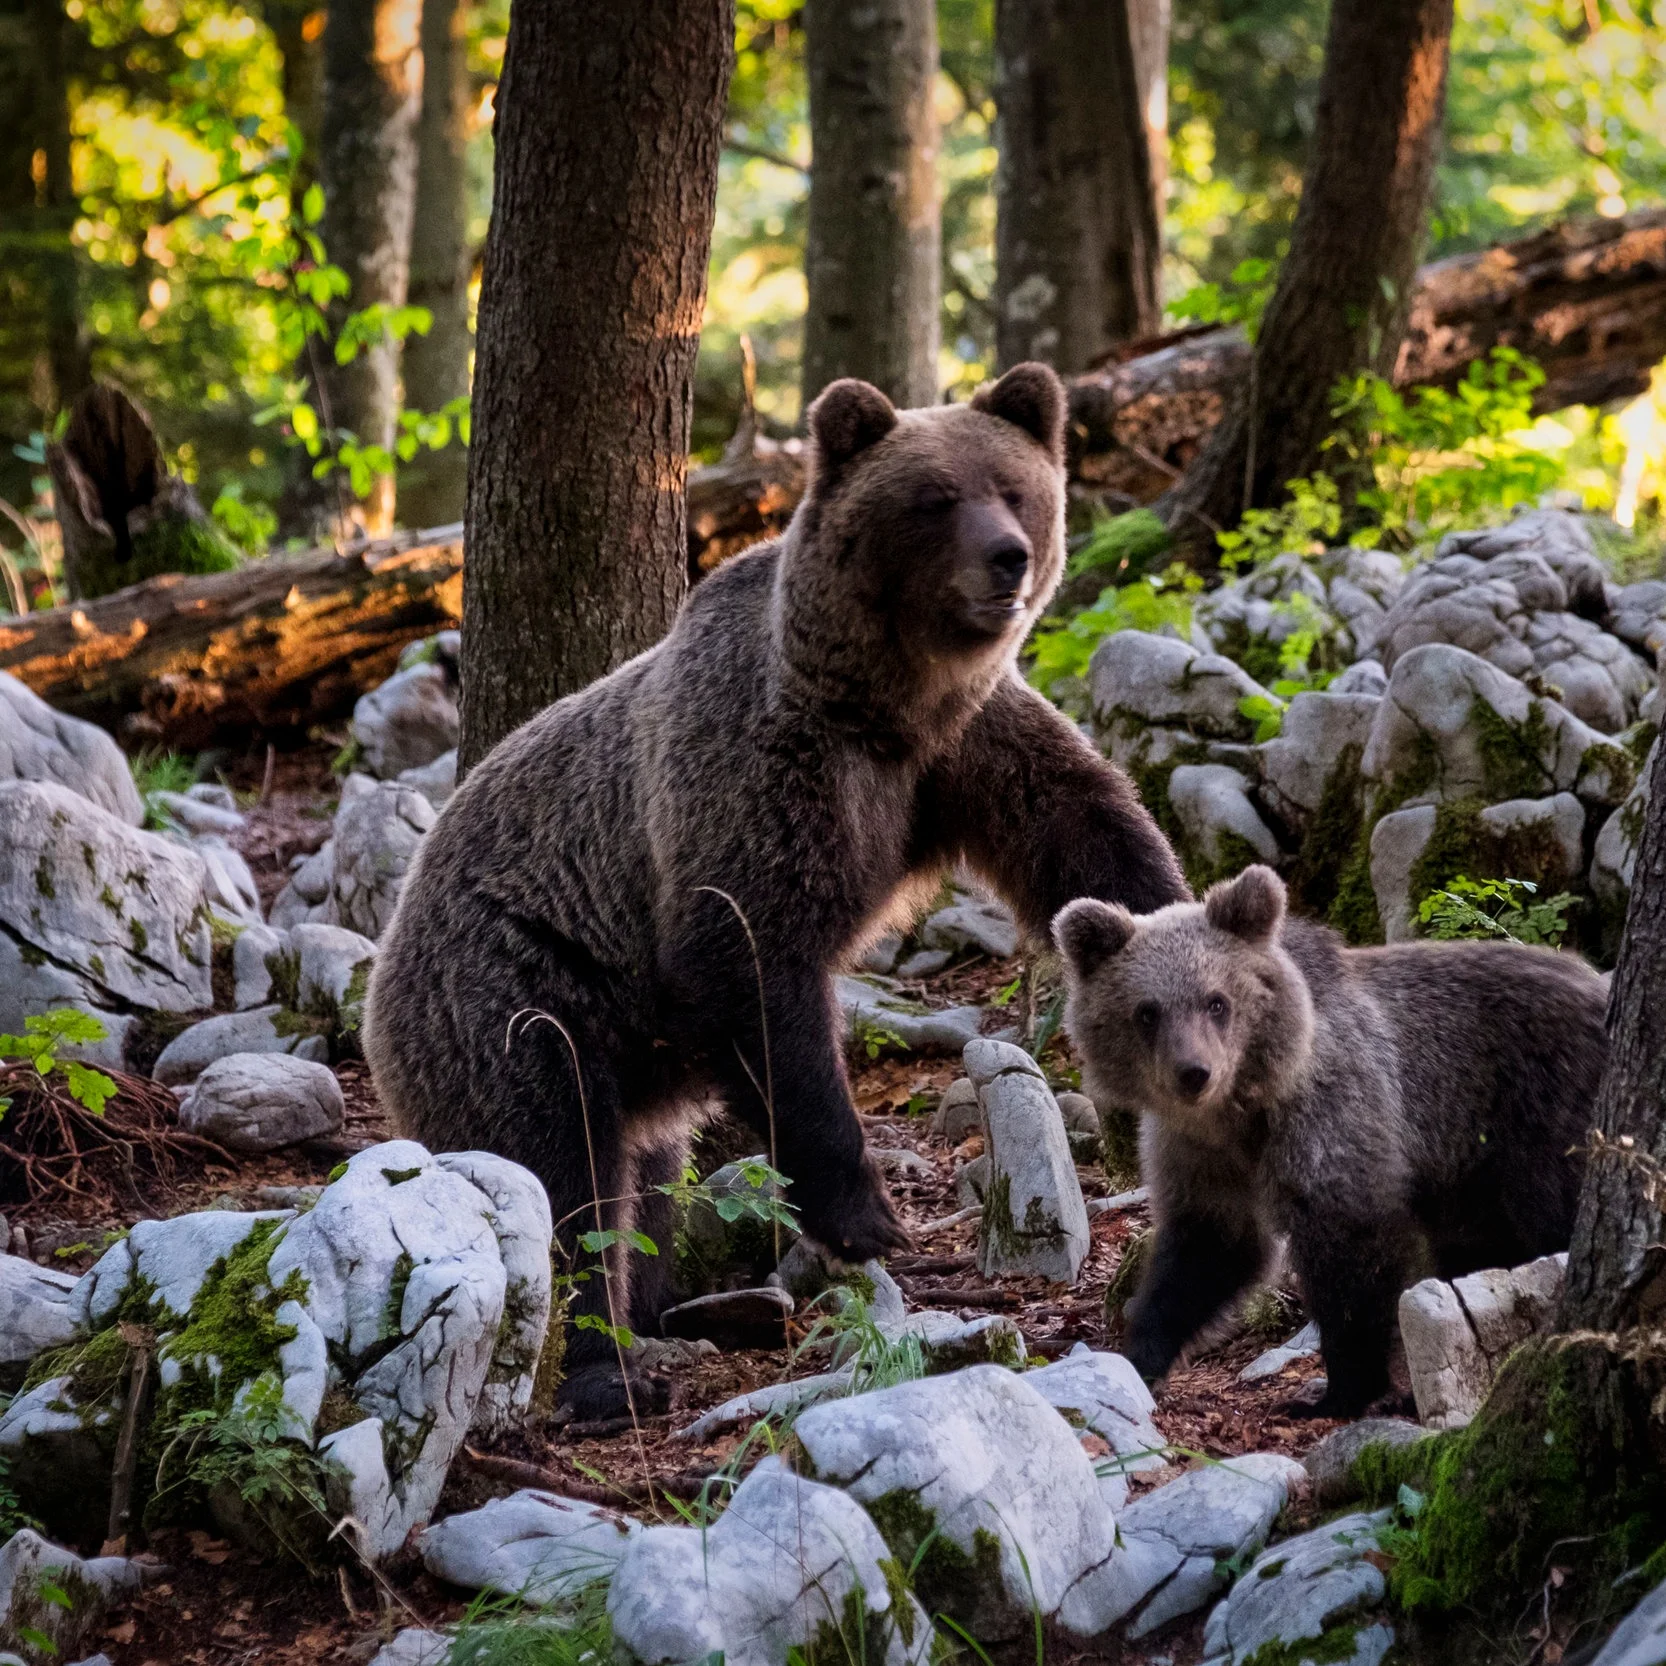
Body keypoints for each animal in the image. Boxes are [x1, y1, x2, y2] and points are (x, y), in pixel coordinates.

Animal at [364, 362, 1190, 1416]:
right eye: (934, 499)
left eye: (1014, 489)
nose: (1007, 557)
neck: (883, 705)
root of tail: (388, 949)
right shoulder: (757, 774)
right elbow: (752, 966)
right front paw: (864, 1213)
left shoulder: (963, 749)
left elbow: (1083, 829)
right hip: (518, 996)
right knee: (562, 1174)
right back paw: (607, 1369)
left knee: (645, 1178)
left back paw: (680, 1310)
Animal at [1052, 863, 1607, 1416]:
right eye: (1147, 1011)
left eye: (1216, 1001)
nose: (1193, 1073)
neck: (1243, 1110)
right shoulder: (1200, 1154)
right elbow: (1206, 1251)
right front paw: (1139, 1358)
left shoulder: (1335, 1113)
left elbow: (1349, 1250)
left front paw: (1336, 1390)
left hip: (1541, 1110)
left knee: (1552, 1215)